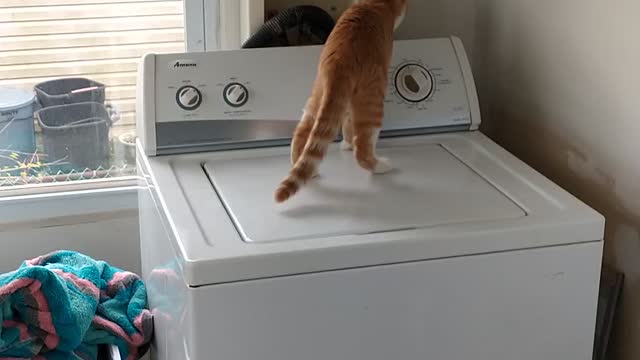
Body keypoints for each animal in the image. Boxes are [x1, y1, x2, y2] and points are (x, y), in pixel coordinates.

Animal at [274, 0, 404, 202]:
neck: (369, 3)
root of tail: (339, 60)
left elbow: (347, 125)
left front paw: (346, 144)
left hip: (318, 96)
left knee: (302, 132)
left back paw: (308, 170)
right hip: (372, 97)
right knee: (363, 145)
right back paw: (380, 166)